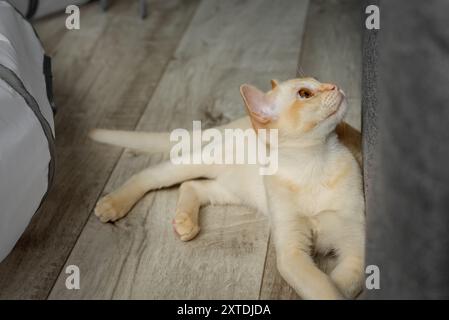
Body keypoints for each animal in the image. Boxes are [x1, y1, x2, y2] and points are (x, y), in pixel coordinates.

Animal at [88, 77, 364, 300]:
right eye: (305, 93)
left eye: (320, 81)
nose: (335, 85)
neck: (310, 165)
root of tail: (240, 123)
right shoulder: (292, 251)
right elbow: (323, 287)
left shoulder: (356, 250)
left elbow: (333, 286)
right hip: (201, 162)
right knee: (152, 174)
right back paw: (112, 204)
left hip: (237, 191)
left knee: (193, 185)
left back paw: (185, 221)